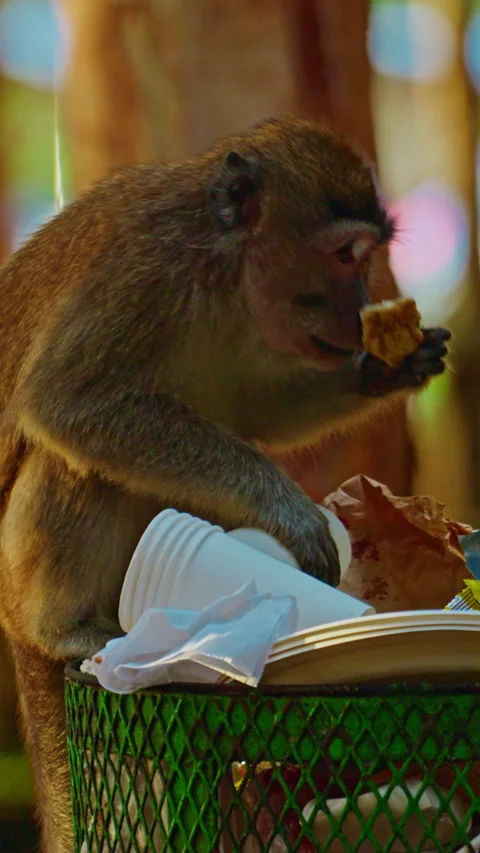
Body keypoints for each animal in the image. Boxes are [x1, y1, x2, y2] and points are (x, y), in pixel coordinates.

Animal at [0, 116, 449, 852]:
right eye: (346, 255)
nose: (360, 308)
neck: (225, 272)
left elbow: (251, 415)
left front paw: (384, 367)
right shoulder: (147, 269)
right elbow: (69, 401)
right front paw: (288, 511)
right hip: (20, 575)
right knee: (74, 460)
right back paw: (64, 628)